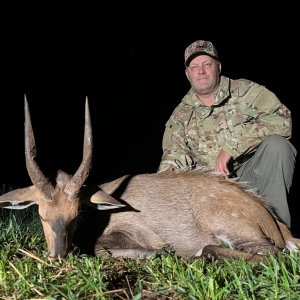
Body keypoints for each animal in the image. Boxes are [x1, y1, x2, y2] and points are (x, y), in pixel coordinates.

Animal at [0, 96, 300, 260]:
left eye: (77, 215)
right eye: (42, 215)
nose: (59, 256)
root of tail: (271, 218)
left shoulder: (132, 232)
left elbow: (100, 247)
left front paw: (161, 252)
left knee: (267, 253)